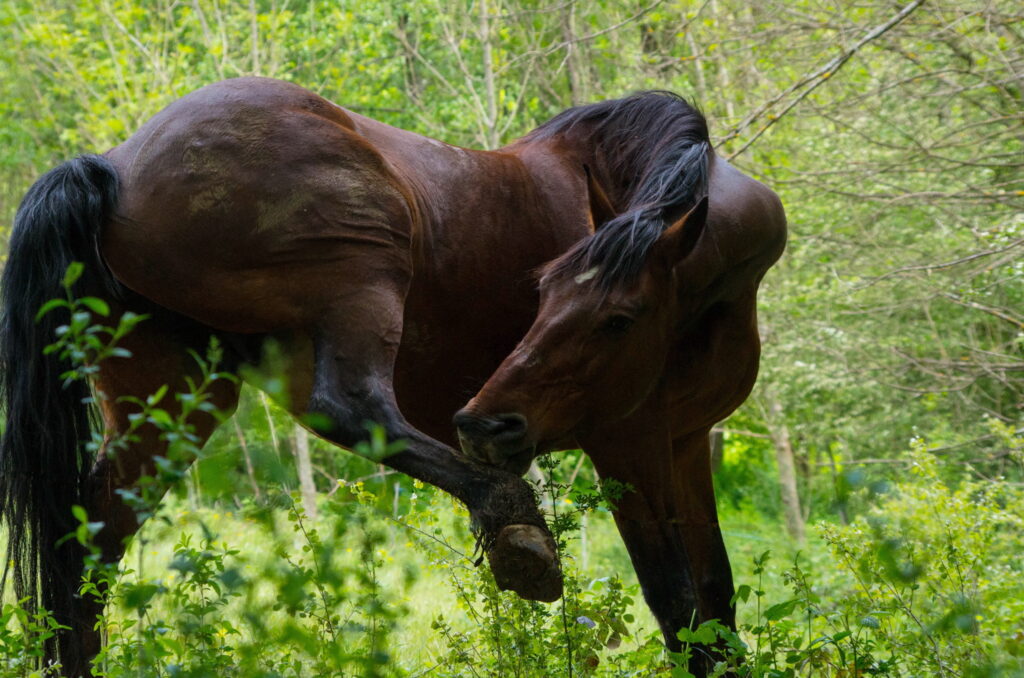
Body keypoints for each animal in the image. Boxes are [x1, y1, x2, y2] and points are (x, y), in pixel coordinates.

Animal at [0, 77, 785, 676]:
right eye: (540, 294)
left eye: (618, 318)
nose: (486, 425)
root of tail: (112, 167)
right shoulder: (629, 444)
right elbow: (679, 607)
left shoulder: (685, 443)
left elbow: (716, 596)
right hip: (367, 266)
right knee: (354, 407)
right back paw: (513, 521)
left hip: (171, 406)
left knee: (88, 551)